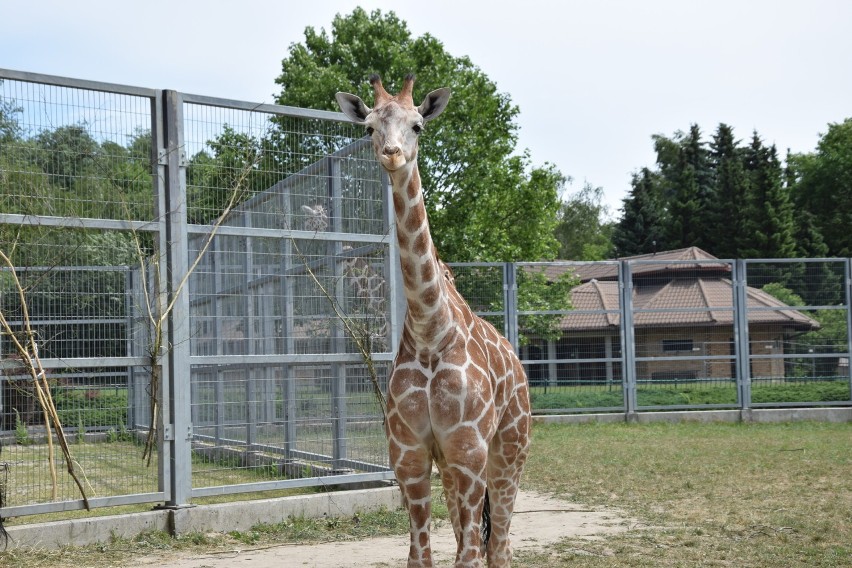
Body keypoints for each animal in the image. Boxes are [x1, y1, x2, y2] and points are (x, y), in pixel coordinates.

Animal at [336, 75, 528, 568]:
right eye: (369, 127)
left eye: (418, 125)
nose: (392, 153)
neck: (428, 330)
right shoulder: (410, 456)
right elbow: (421, 556)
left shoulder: (469, 451)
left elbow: (472, 556)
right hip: (453, 467)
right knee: (474, 538)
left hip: (508, 451)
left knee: (498, 545)